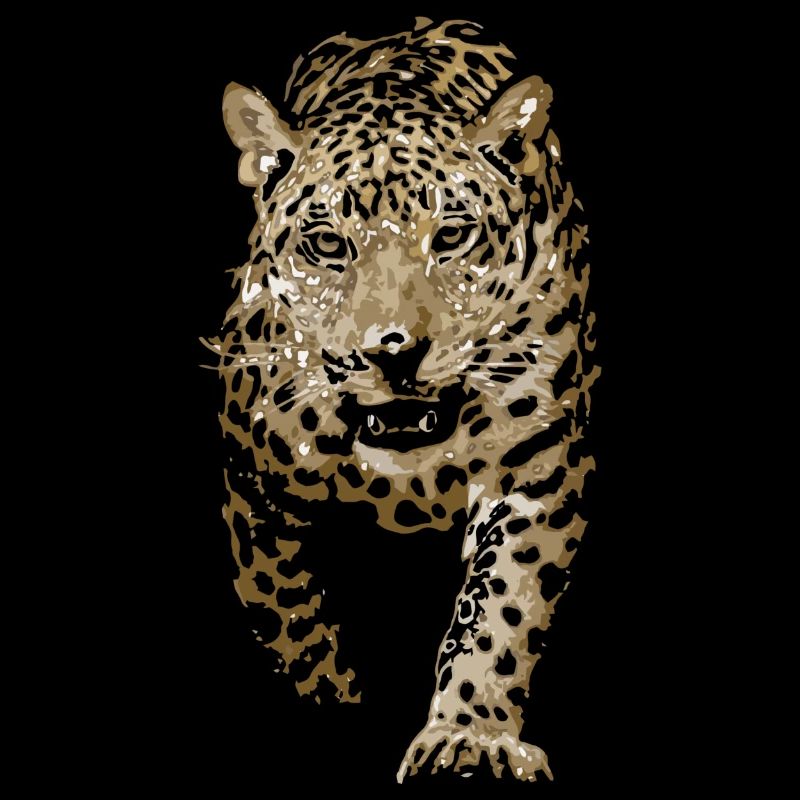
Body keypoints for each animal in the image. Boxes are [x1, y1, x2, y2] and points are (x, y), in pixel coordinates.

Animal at [209, 17, 598, 784]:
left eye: (451, 235)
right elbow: (291, 614)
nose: (393, 350)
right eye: (326, 243)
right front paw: (334, 705)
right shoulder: (255, 480)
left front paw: (469, 737)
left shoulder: (536, 464)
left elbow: (499, 609)